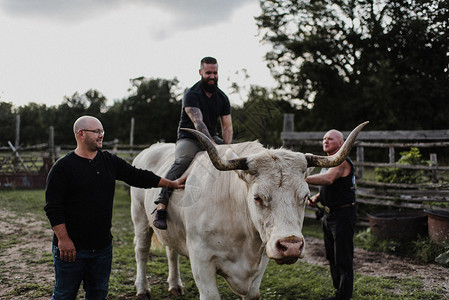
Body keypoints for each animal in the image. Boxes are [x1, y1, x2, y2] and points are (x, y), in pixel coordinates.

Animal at [130, 121, 368, 298]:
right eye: (257, 197)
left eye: (305, 196)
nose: (291, 246)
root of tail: (150, 149)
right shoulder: (201, 260)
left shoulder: (261, 260)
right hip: (140, 218)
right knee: (141, 251)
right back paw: (142, 289)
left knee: (171, 251)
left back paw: (175, 285)